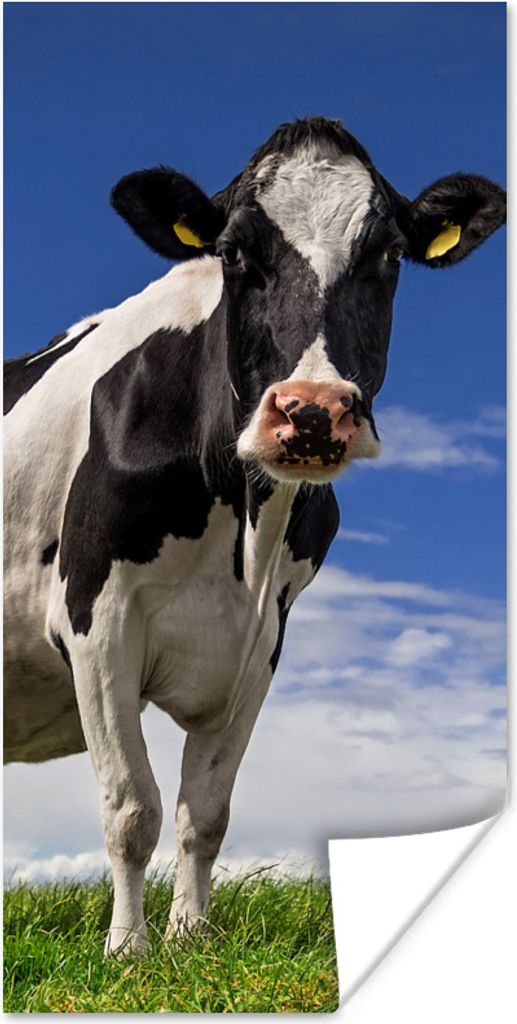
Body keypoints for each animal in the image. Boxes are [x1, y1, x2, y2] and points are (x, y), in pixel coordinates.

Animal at [4, 117, 505, 954]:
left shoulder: (261, 634)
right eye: (235, 252)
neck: (239, 528)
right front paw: (128, 950)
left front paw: (190, 940)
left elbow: (203, 813)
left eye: (387, 254)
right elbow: (131, 807)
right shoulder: (94, 613)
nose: (310, 412)